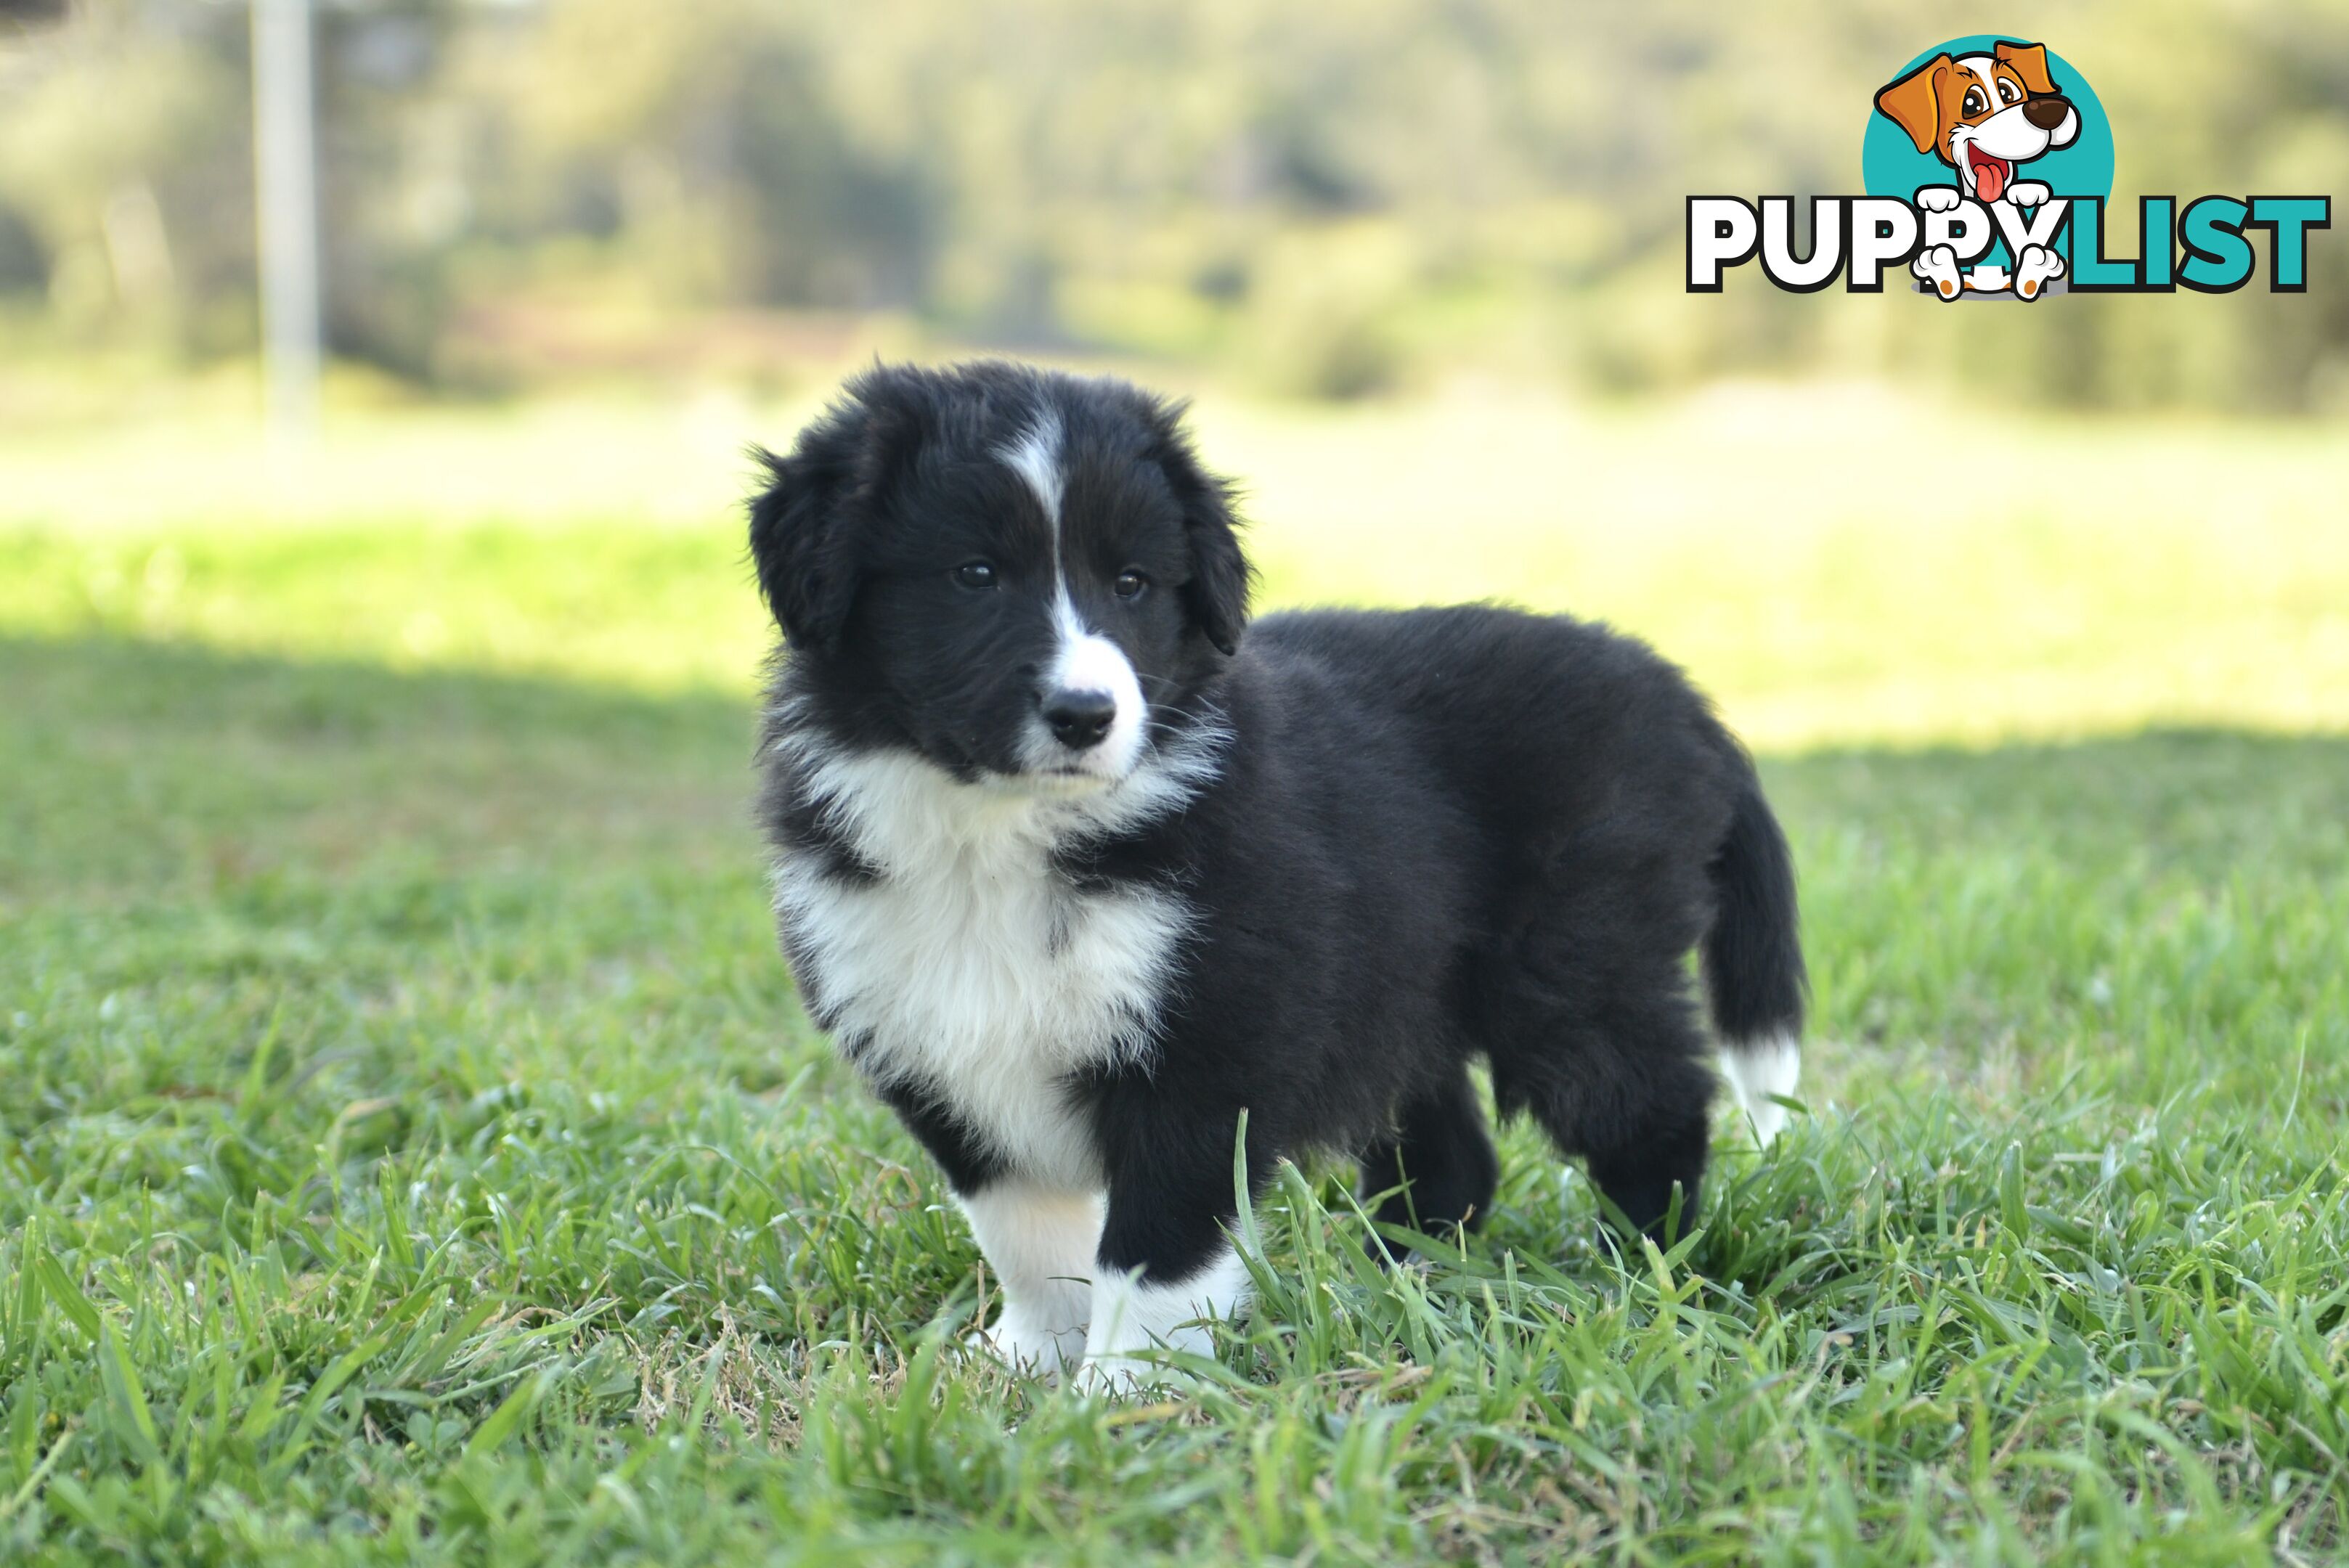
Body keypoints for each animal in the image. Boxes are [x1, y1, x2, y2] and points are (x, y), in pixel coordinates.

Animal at [742, 364, 1804, 1380]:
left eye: (1132, 583)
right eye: (973, 574)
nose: (1087, 715)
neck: (1003, 832)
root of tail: (1681, 695)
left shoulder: (1211, 1044)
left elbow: (1155, 1245)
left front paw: (1124, 1393)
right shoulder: (932, 1045)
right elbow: (1025, 1234)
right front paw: (1031, 1359)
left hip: (1573, 962)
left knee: (1650, 1107)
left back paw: (1645, 1274)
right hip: (1402, 978)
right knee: (1453, 1155)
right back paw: (1397, 1283)